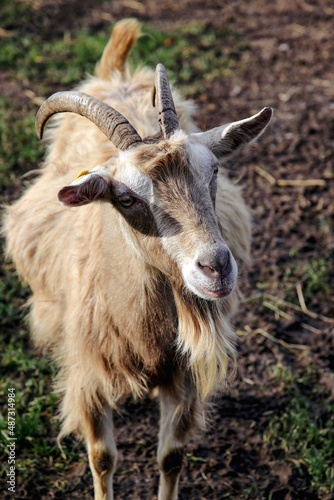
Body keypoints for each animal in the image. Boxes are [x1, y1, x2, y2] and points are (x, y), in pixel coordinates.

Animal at [3, 18, 272, 500]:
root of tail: (118, 70)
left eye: (214, 171)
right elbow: (102, 457)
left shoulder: (183, 377)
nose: (216, 267)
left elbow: (171, 456)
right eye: (126, 198)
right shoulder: (88, 374)